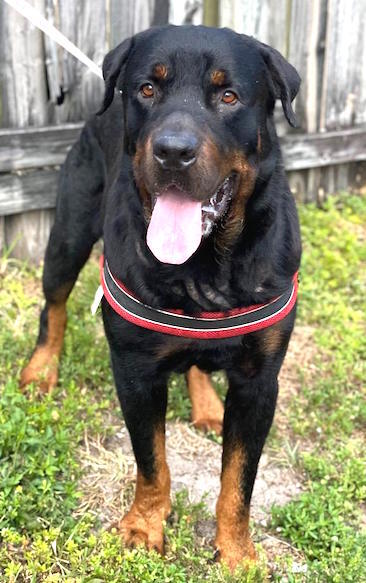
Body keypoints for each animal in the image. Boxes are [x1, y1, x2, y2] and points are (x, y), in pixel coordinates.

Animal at [20, 26, 300, 572]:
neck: (204, 264)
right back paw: (41, 370)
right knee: (53, 304)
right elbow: (152, 460)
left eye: (228, 96)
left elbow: (239, 481)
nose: (172, 151)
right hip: (69, 230)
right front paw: (144, 526)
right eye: (147, 89)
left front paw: (237, 551)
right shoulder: (135, 370)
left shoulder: (260, 382)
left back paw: (207, 404)